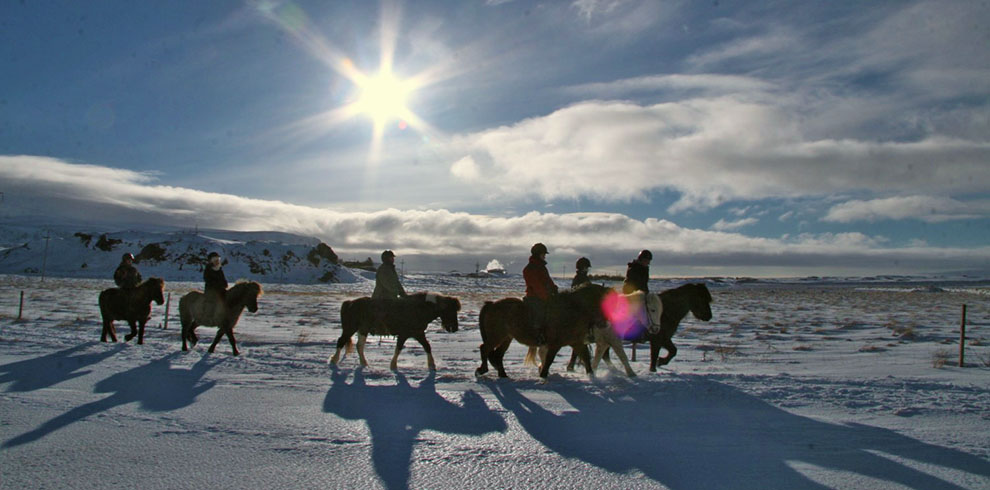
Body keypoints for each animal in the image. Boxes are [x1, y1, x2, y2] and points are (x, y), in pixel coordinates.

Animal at [330, 290, 462, 372]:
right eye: (450, 310)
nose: (455, 328)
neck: (418, 309)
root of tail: (349, 303)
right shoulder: (405, 334)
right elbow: (398, 348)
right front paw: (393, 366)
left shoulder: (418, 333)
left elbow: (427, 347)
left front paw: (432, 366)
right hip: (350, 328)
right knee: (341, 341)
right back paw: (333, 361)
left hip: (363, 330)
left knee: (359, 346)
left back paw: (364, 363)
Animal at [474, 284, 608, 378]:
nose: (605, 323)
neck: (572, 309)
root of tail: (491, 304)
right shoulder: (555, 344)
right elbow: (549, 360)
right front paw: (543, 375)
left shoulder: (576, 342)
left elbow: (585, 356)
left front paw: (592, 375)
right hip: (496, 336)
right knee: (484, 348)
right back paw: (482, 370)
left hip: (507, 338)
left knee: (498, 354)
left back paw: (502, 374)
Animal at [564, 282, 712, 374]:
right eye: (702, 299)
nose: (708, 316)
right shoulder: (658, 339)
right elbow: (660, 354)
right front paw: (657, 366)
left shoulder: (662, 338)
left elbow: (672, 351)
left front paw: (660, 363)